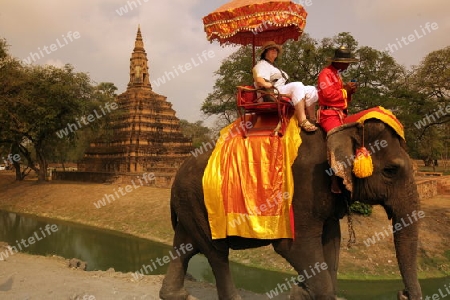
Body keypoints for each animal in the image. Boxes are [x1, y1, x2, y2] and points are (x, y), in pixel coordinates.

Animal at [161, 118, 422, 298]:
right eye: (391, 170)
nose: (402, 293)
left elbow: (332, 240)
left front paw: (302, 292)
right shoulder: (304, 188)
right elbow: (295, 247)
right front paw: (306, 291)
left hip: (190, 203)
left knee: (185, 246)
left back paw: (175, 295)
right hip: (198, 202)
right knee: (215, 252)